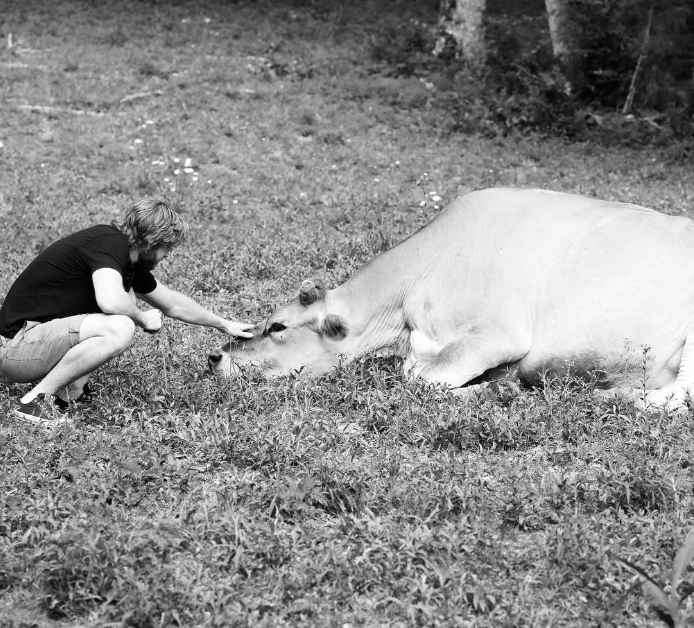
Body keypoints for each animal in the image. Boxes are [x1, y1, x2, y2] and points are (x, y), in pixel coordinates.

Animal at [209, 187, 694, 410]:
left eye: (278, 326)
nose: (216, 356)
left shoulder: (497, 333)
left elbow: (420, 379)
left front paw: (494, 386)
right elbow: (413, 370)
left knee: (670, 398)